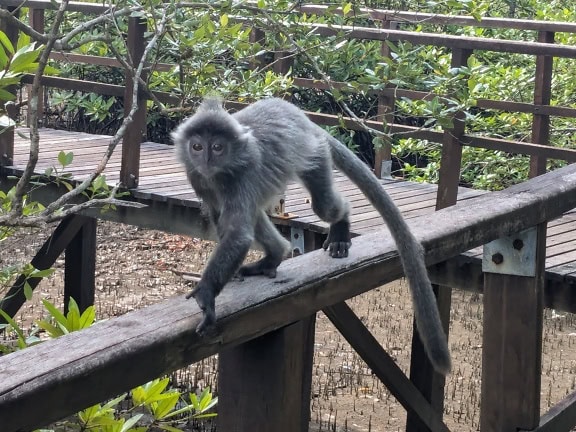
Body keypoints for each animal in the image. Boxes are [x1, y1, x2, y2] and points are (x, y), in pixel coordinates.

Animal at [173, 98, 452, 374]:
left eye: (218, 147)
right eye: (197, 146)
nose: (206, 159)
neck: (221, 172)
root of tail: (304, 119)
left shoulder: (243, 177)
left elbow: (238, 234)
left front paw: (206, 294)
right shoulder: (198, 177)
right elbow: (222, 217)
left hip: (315, 153)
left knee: (325, 206)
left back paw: (340, 230)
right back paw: (274, 256)